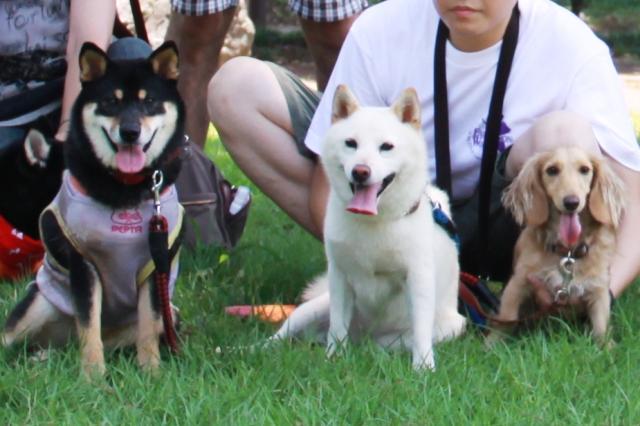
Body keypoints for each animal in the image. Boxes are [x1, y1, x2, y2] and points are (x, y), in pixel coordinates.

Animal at [2, 39, 186, 377]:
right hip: (35, 306)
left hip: (172, 314)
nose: (130, 131)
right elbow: (88, 326)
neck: (125, 188)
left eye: (150, 101)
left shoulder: (156, 264)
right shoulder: (84, 264)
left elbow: (149, 322)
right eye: (110, 102)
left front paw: (151, 371)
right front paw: (93, 377)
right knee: (21, 340)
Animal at [269, 85, 466, 370]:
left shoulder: (418, 278)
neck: (374, 221)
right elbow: (337, 327)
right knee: (282, 335)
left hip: (447, 327)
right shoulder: (339, 277)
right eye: (351, 143)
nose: (361, 171)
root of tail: (363, 336)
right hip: (312, 310)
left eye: (387, 147)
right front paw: (333, 358)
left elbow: (420, 331)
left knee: (393, 342)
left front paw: (423, 368)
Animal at [488, 146, 625, 345]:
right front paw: (492, 343)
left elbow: (601, 328)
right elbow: (506, 318)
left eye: (585, 169)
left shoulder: (598, 291)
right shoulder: (518, 283)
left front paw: (607, 348)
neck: (567, 252)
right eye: (552, 170)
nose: (571, 202)